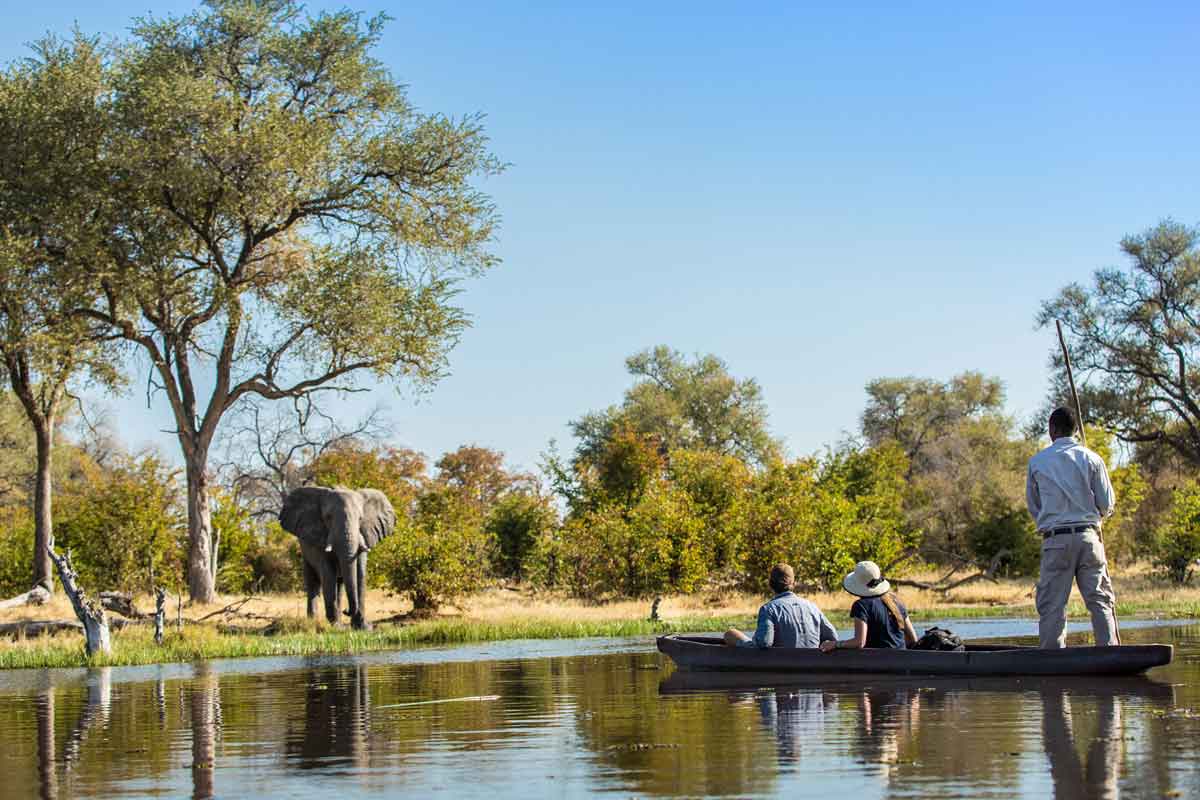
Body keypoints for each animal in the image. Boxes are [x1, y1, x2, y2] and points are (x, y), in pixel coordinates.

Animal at [278, 484, 396, 628]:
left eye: (360, 519)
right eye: (328, 517)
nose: (347, 610)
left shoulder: (364, 535)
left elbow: (360, 573)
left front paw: (363, 627)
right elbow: (328, 574)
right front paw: (337, 627)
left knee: (339, 585)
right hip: (305, 552)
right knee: (313, 583)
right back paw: (313, 622)